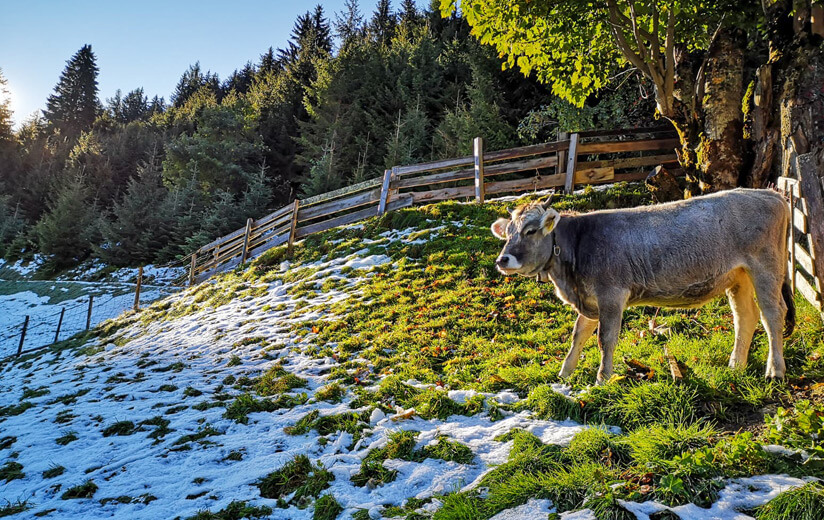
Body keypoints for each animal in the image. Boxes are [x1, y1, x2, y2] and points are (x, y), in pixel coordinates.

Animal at [492, 189, 796, 384]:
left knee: (772, 314)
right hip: (738, 276)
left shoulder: (611, 295)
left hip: (766, 268)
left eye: (530, 231)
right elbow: (578, 335)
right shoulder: (589, 299)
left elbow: (605, 339)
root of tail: (771, 194)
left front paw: (602, 379)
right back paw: (735, 366)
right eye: (508, 234)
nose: (502, 259)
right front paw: (565, 374)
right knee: (745, 317)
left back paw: (775, 370)